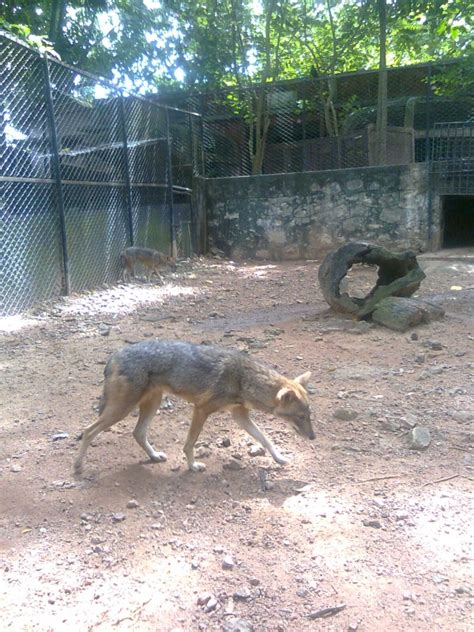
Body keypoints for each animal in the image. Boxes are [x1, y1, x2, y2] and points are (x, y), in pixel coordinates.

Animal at [74, 340, 314, 474]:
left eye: (308, 415)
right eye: (301, 416)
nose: (313, 437)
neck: (243, 379)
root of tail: (115, 354)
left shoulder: (239, 415)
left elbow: (266, 439)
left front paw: (279, 458)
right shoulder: (201, 410)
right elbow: (189, 444)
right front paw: (192, 467)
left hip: (151, 404)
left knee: (138, 433)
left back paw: (154, 456)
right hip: (121, 410)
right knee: (87, 431)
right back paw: (78, 467)